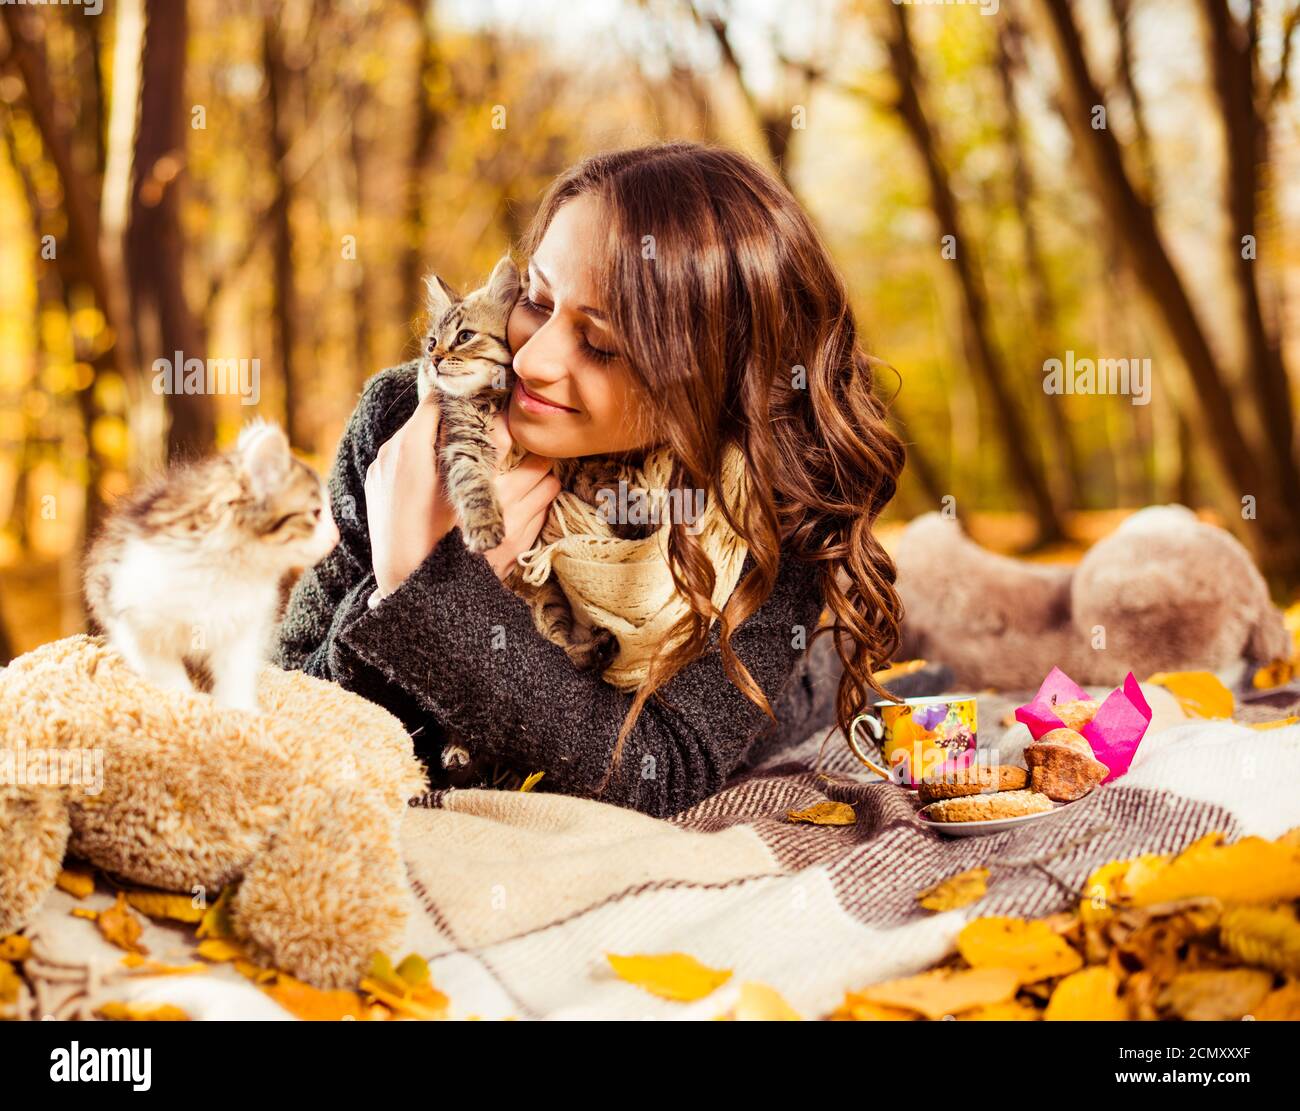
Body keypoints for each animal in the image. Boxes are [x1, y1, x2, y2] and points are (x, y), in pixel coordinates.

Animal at [83, 415, 338, 712]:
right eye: (316, 513)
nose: (336, 537)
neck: (230, 569)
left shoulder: (242, 628)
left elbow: (236, 673)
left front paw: (240, 710)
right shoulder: (134, 618)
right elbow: (164, 672)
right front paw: (185, 700)